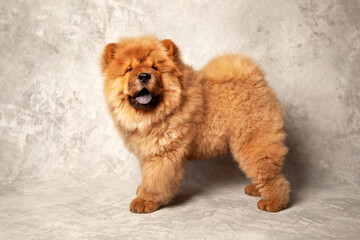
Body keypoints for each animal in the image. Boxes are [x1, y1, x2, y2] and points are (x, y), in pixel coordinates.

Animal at [100, 36, 290, 214]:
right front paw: (141, 190)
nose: (144, 76)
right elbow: (147, 175)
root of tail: (257, 81)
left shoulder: (162, 153)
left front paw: (145, 201)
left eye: (155, 67)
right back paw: (257, 190)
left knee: (271, 174)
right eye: (129, 69)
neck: (151, 114)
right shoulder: (147, 151)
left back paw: (273, 202)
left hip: (253, 142)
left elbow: (155, 179)